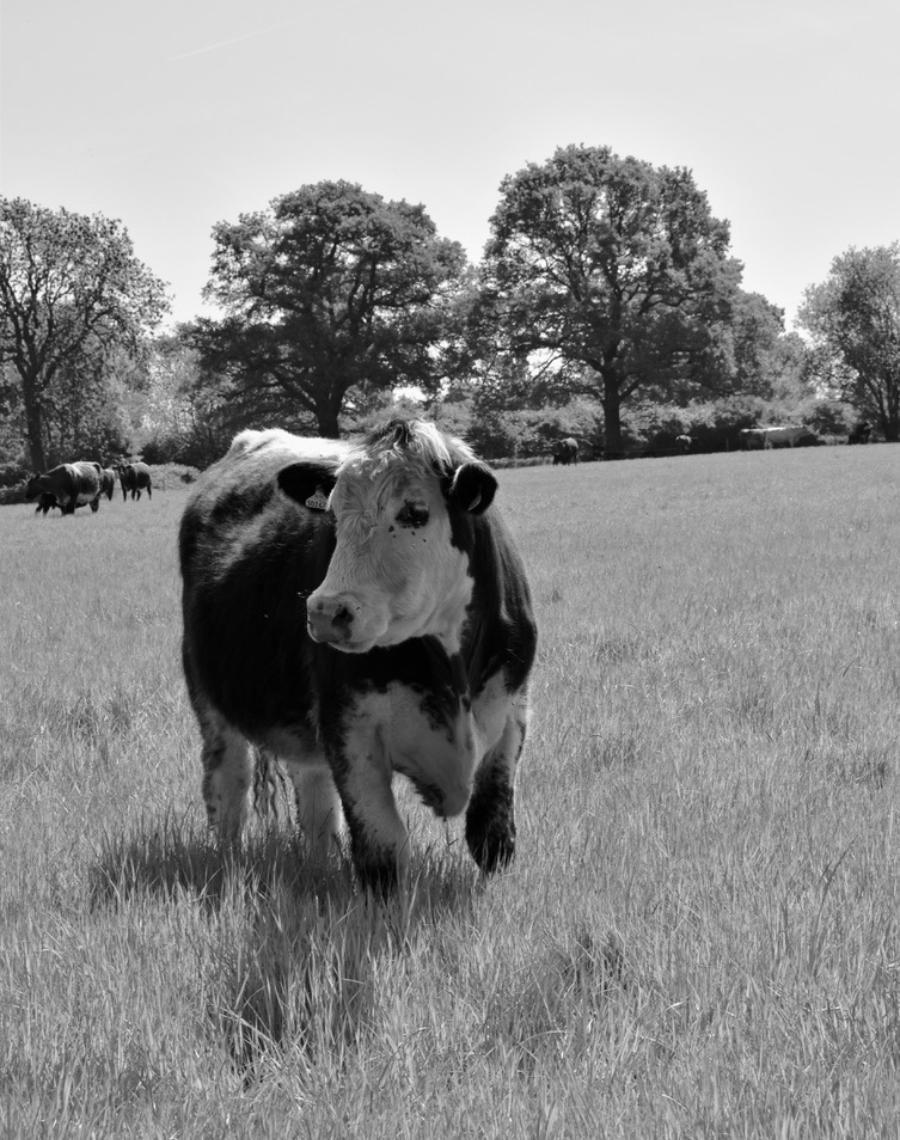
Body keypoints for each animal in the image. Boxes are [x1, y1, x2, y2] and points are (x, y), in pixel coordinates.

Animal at [179, 419, 537, 893]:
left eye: (415, 512)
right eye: (332, 514)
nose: (326, 611)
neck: (451, 668)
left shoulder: (512, 709)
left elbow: (491, 834)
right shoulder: (350, 727)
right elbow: (383, 849)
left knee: (313, 794)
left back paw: (319, 864)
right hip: (208, 695)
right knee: (229, 785)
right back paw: (229, 866)